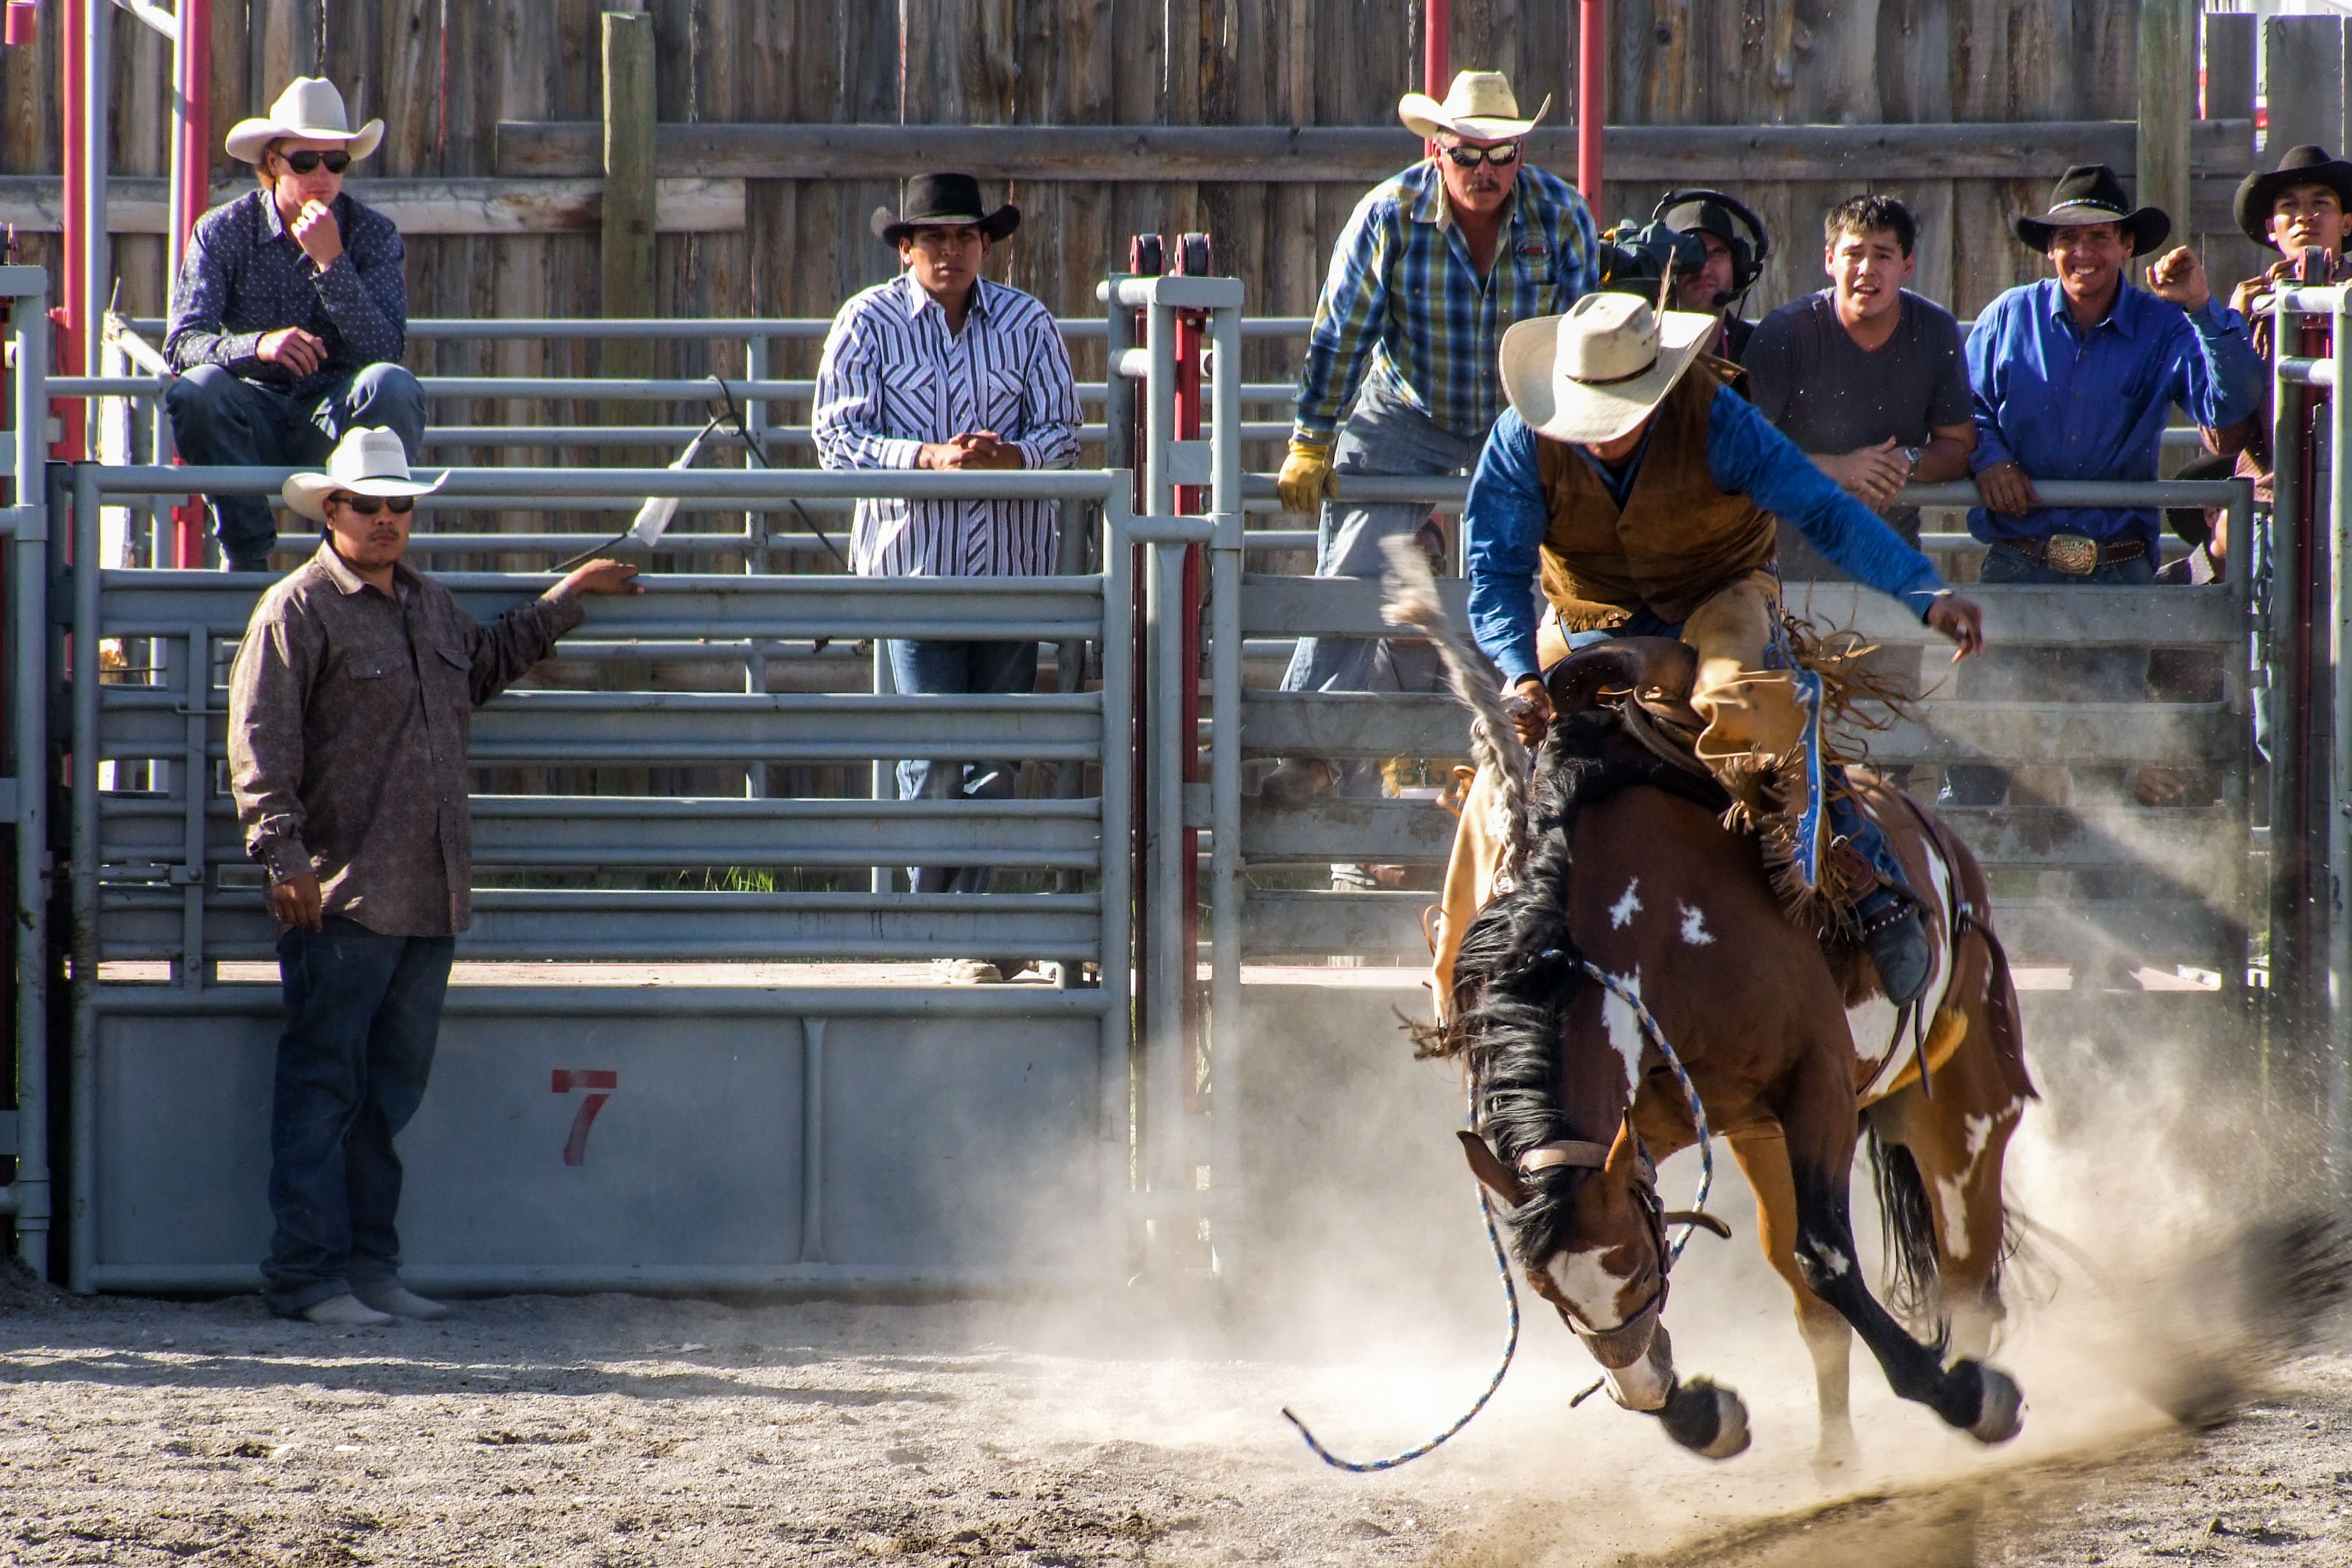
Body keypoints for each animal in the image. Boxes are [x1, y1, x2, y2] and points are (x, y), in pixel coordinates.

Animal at [1427, 638, 2035, 1465]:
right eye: (1550, 1294)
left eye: (1638, 1270)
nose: (1639, 1387)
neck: (1649, 925)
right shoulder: (1648, 1129)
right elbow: (1802, 1276)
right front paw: (1703, 1413)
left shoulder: (1817, 1085)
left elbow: (1828, 1256)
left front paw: (1954, 1390)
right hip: (1762, 1134)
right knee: (1815, 1305)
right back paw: (1836, 1460)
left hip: (1960, 1097)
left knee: (1966, 1271)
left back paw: (1981, 1400)